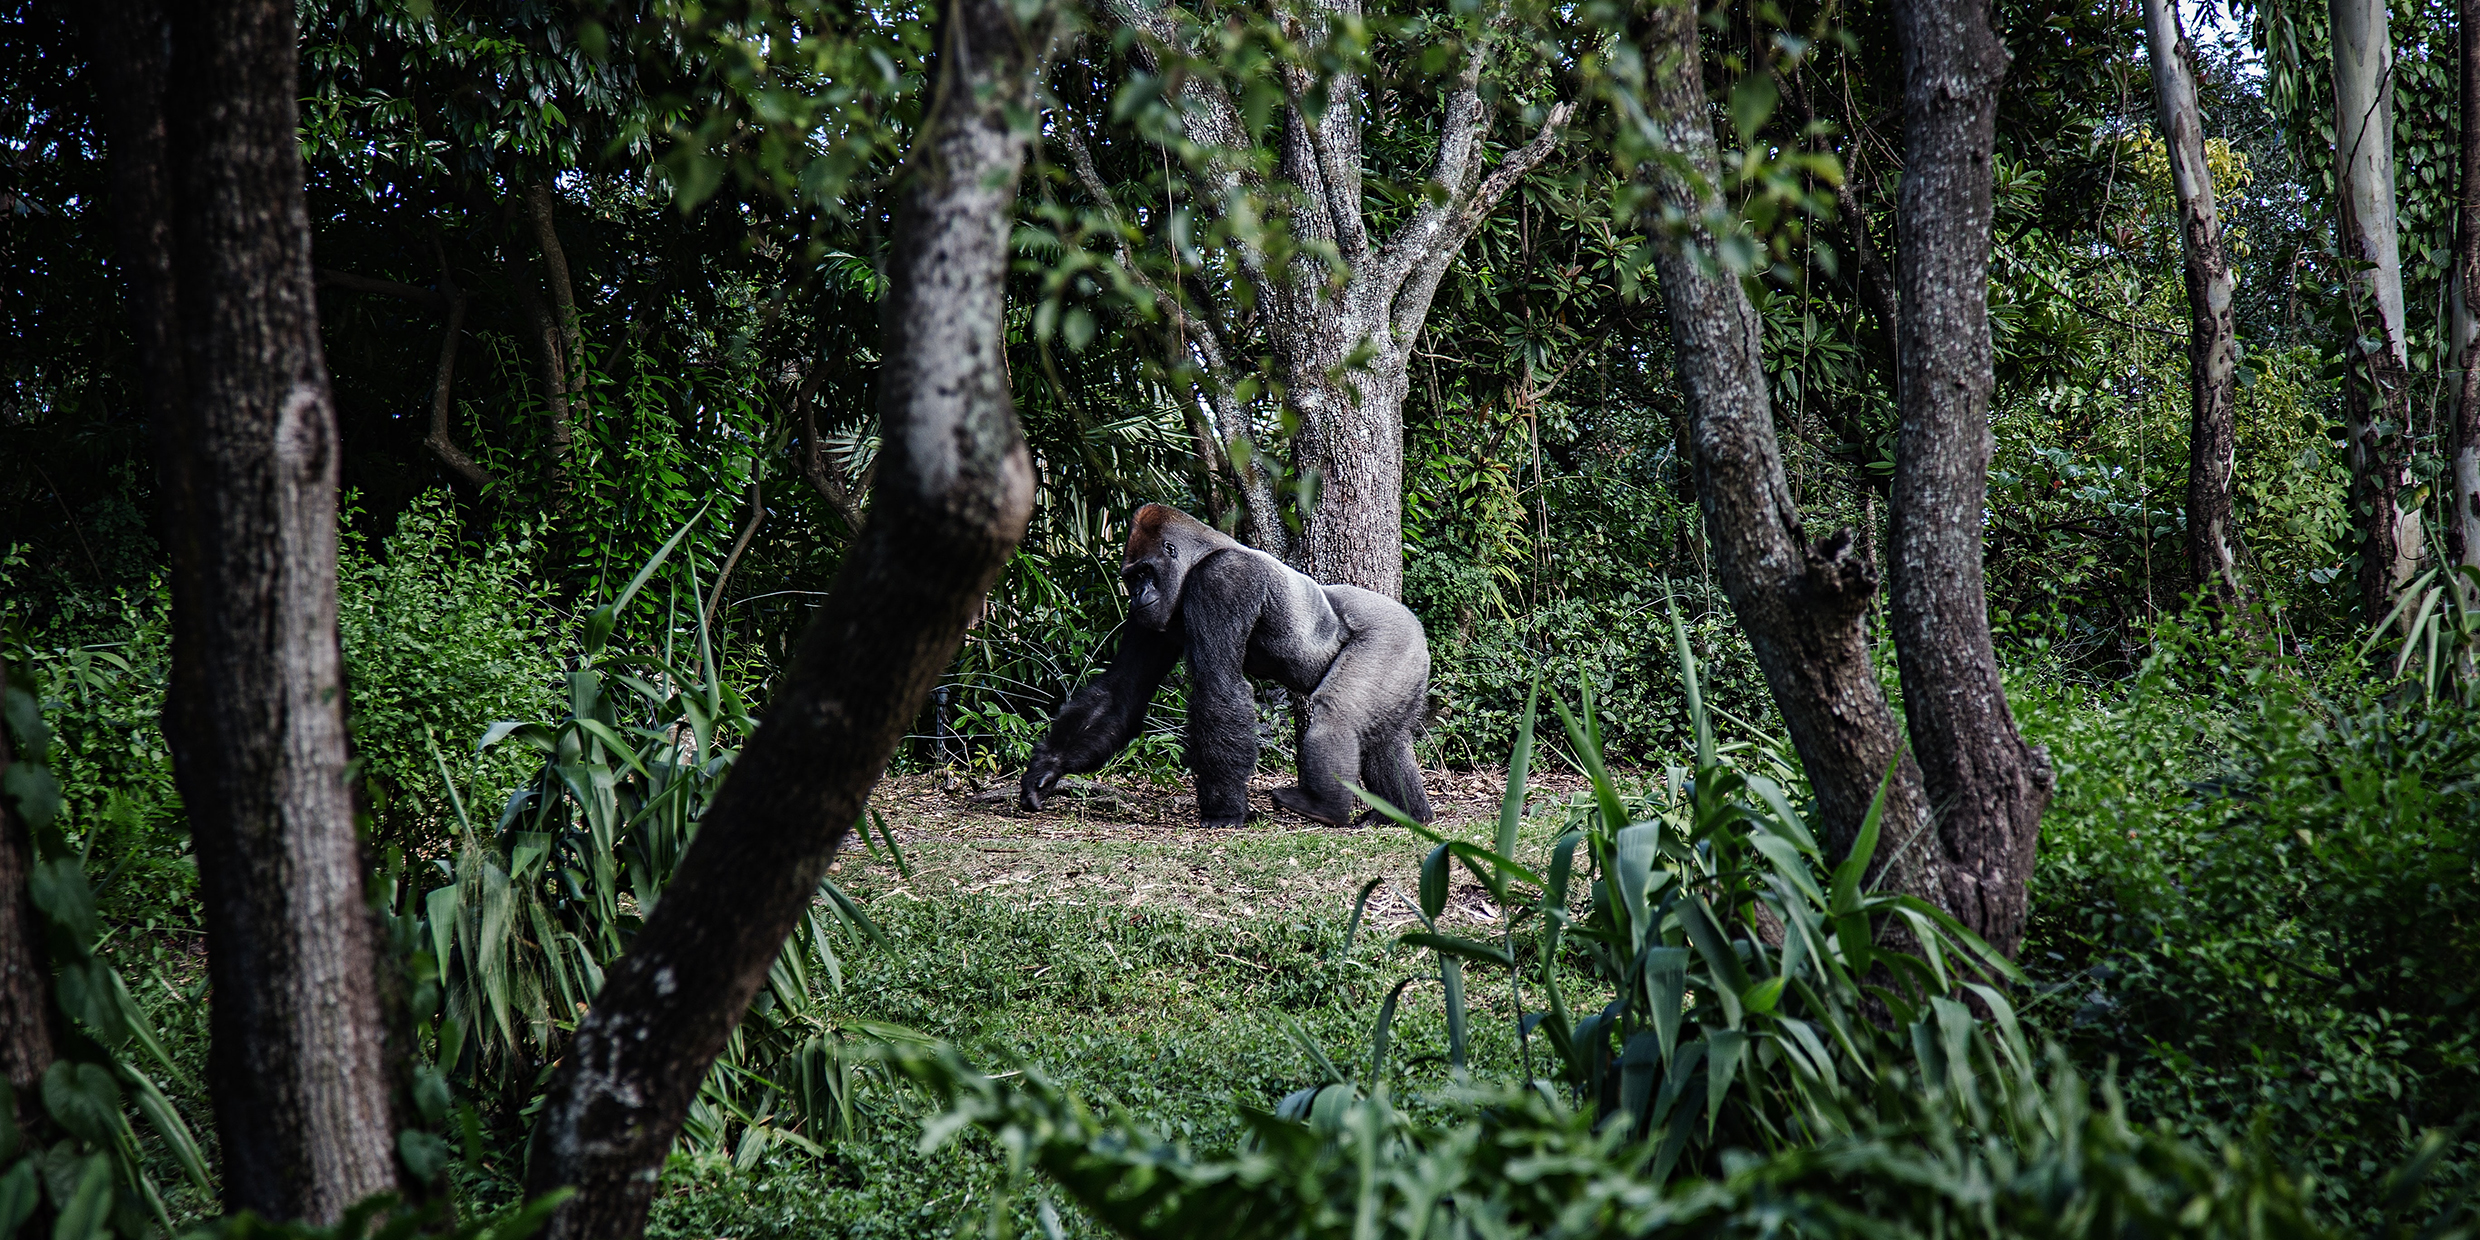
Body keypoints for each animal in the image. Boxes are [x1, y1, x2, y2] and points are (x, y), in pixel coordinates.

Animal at [1011, 498, 1438, 828]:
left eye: (1146, 572)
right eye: (1132, 579)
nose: (1138, 596)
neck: (1201, 555)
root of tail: (1415, 624)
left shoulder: (1223, 580)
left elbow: (1217, 685)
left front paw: (1224, 811)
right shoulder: (1150, 619)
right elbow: (1121, 690)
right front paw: (1047, 768)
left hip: (1392, 636)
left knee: (1338, 713)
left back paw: (1326, 807)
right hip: (1407, 658)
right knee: (1384, 736)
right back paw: (1405, 813)